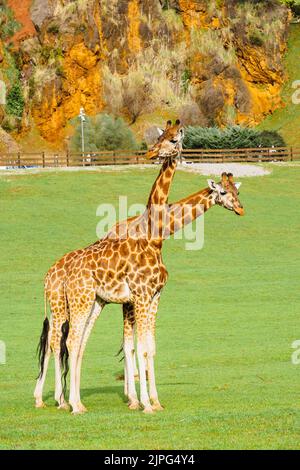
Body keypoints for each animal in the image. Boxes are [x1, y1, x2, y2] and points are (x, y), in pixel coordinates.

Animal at [35, 118, 185, 412]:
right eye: (161, 137)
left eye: (174, 139)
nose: (151, 153)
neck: (154, 239)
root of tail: (49, 276)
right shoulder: (140, 296)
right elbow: (141, 347)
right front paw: (145, 404)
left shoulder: (154, 296)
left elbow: (149, 346)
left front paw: (155, 402)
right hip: (73, 303)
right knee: (65, 342)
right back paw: (68, 403)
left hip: (90, 304)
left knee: (73, 344)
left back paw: (70, 401)